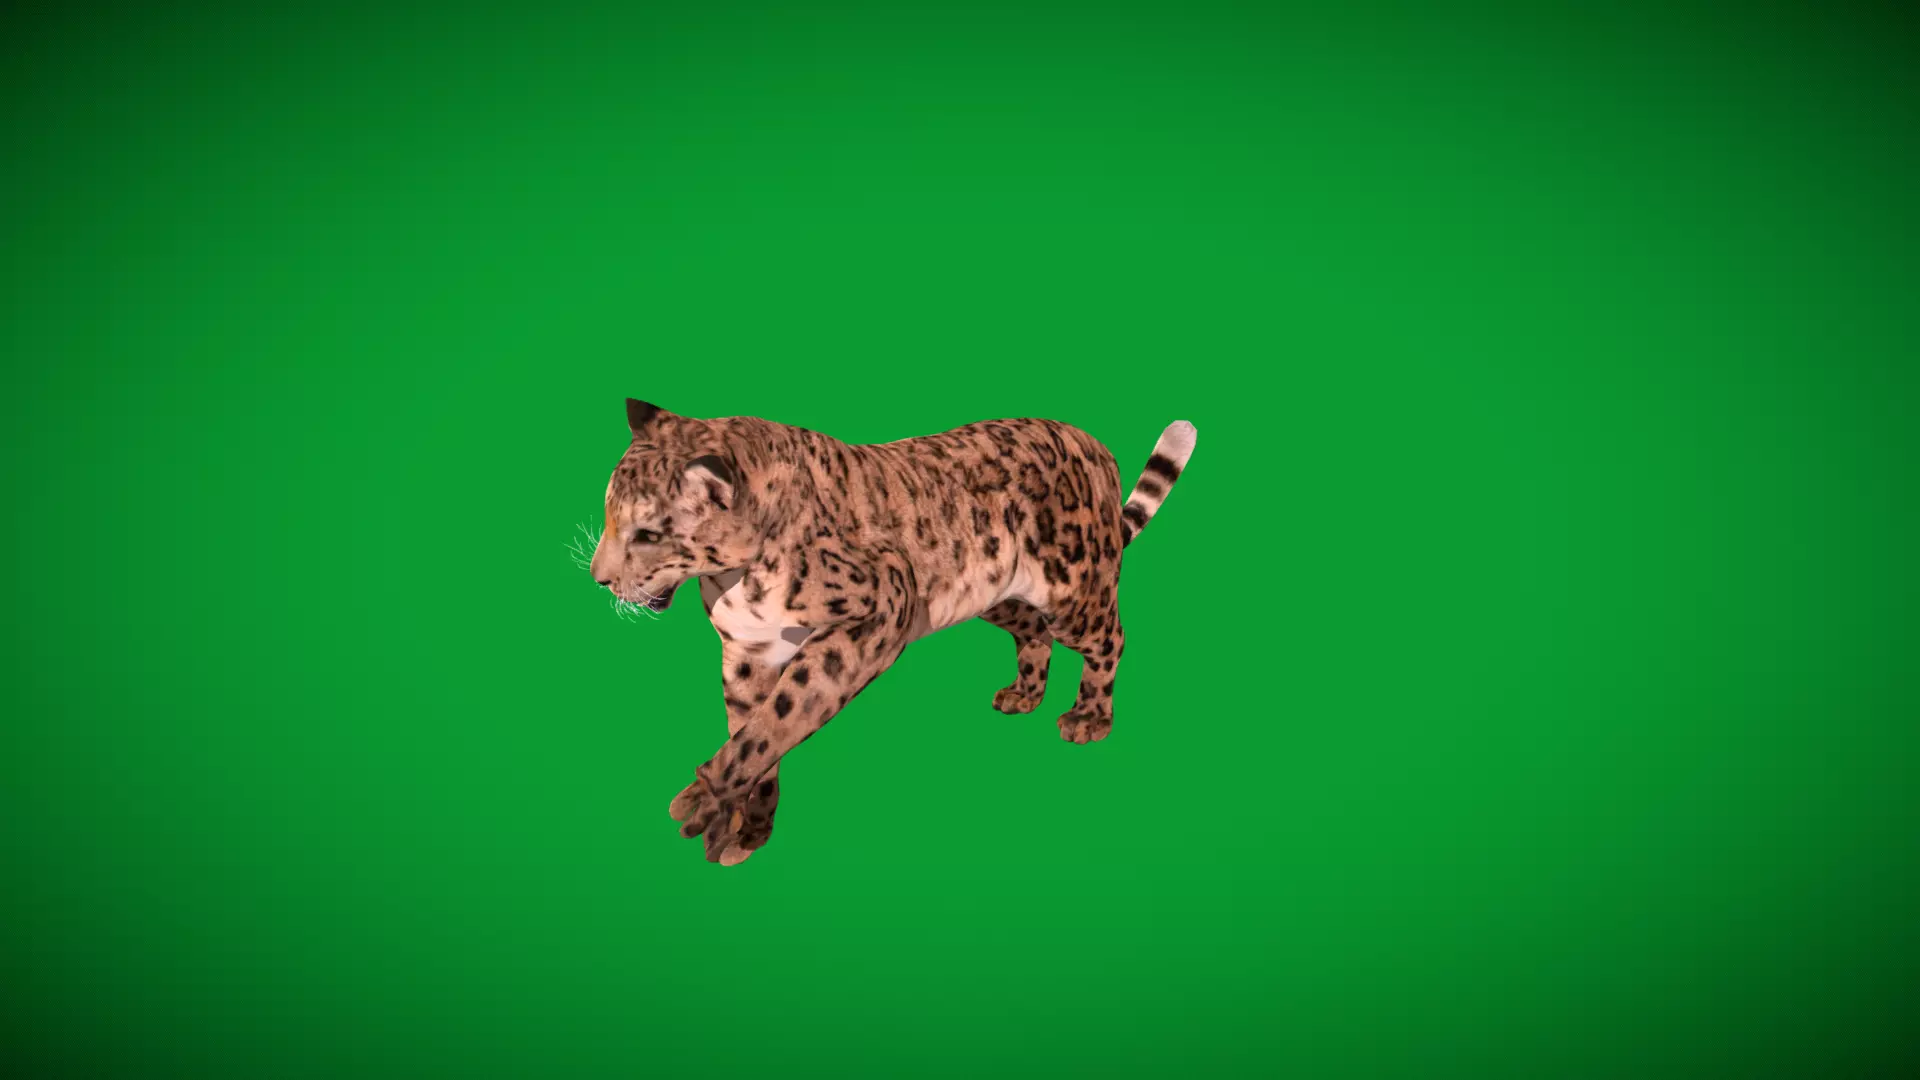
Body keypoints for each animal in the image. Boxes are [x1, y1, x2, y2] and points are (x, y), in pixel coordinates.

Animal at [586, 398, 1197, 865]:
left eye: (647, 533)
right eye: (609, 512)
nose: (599, 578)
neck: (733, 580)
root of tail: (1096, 448)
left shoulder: (880, 607)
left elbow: (780, 718)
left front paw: (702, 797)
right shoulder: (747, 655)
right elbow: (752, 735)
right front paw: (744, 828)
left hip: (1074, 590)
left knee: (1110, 638)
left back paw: (1088, 717)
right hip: (994, 596)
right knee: (1032, 632)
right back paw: (1023, 693)